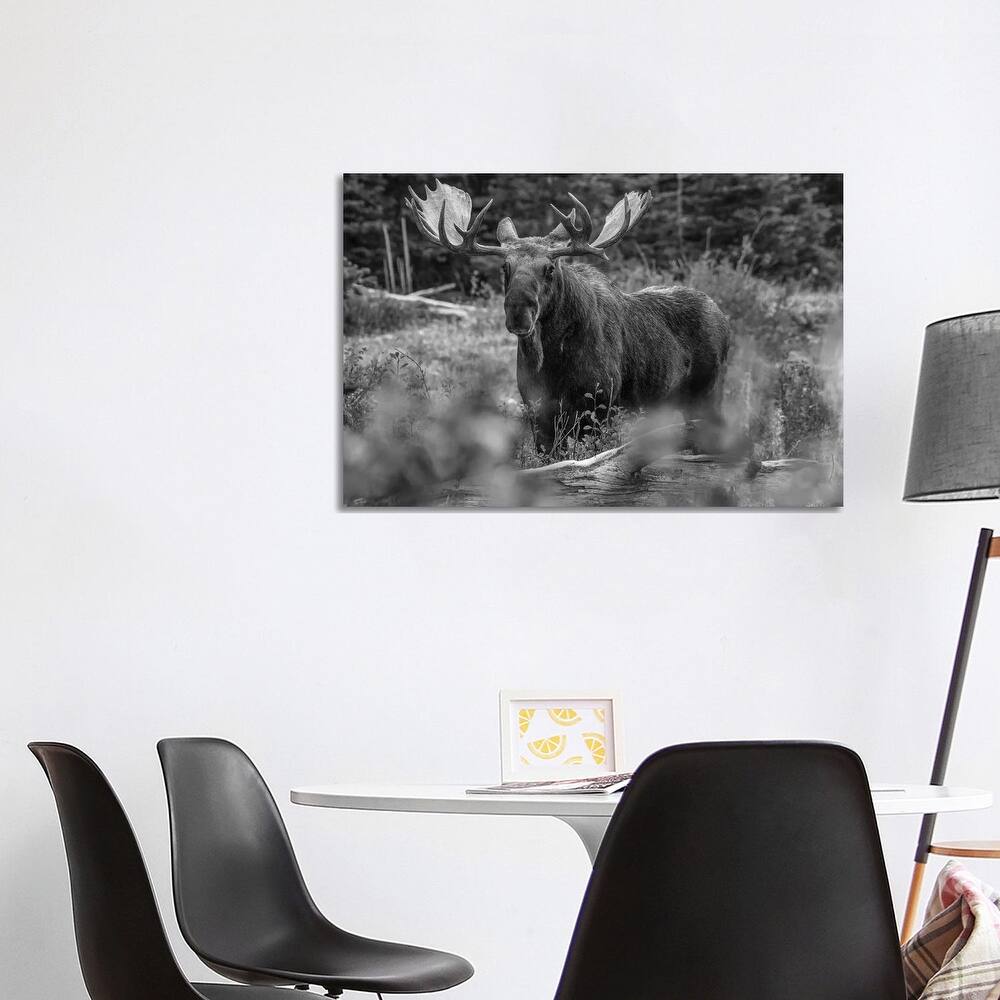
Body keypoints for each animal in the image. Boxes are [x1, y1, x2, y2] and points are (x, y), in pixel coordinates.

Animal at [405, 180, 731, 453]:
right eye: (505, 267)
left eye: (550, 267)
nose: (519, 313)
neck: (553, 365)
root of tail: (725, 319)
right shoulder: (538, 414)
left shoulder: (600, 409)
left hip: (709, 394)